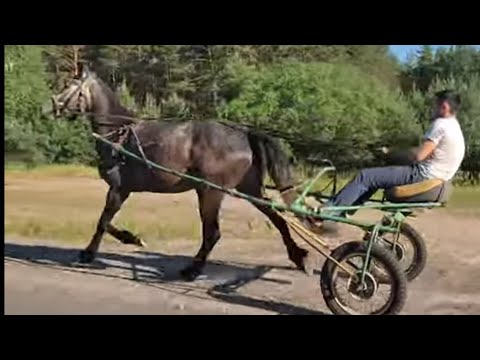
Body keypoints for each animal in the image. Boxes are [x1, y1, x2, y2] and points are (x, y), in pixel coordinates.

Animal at [50, 67, 316, 282]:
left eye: (69, 86)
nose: (52, 106)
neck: (119, 135)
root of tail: (243, 133)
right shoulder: (123, 190)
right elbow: (107, 222)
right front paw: (131, 238)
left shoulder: (118, 189)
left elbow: (103, 222)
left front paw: (90, 252)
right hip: (248, 189)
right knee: (277, 219)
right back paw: (299, 257)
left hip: (210, 191)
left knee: (212, 233)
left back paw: (193, 270)